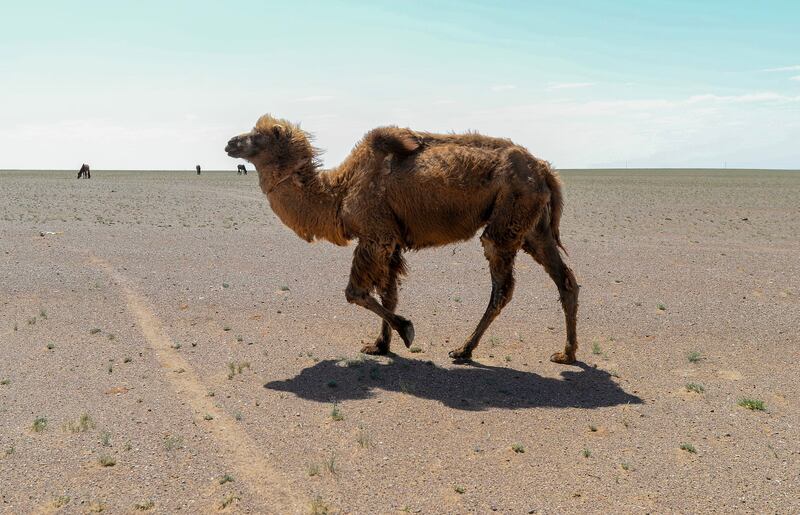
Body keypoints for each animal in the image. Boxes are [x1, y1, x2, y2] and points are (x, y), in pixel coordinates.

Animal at [222, 114, 580, 362]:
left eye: (257, 136)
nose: (229, 142)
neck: (340, 193)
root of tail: (545, 169)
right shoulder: (390, 242)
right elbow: (388, 294)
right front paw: (380, 344)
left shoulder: (375, 236)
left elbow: (355, 293)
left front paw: (406, 330)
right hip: (533, 227)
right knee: (565, 280)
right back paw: (567, 354)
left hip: (508, 218)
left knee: (502, 286)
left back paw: (463, 350)